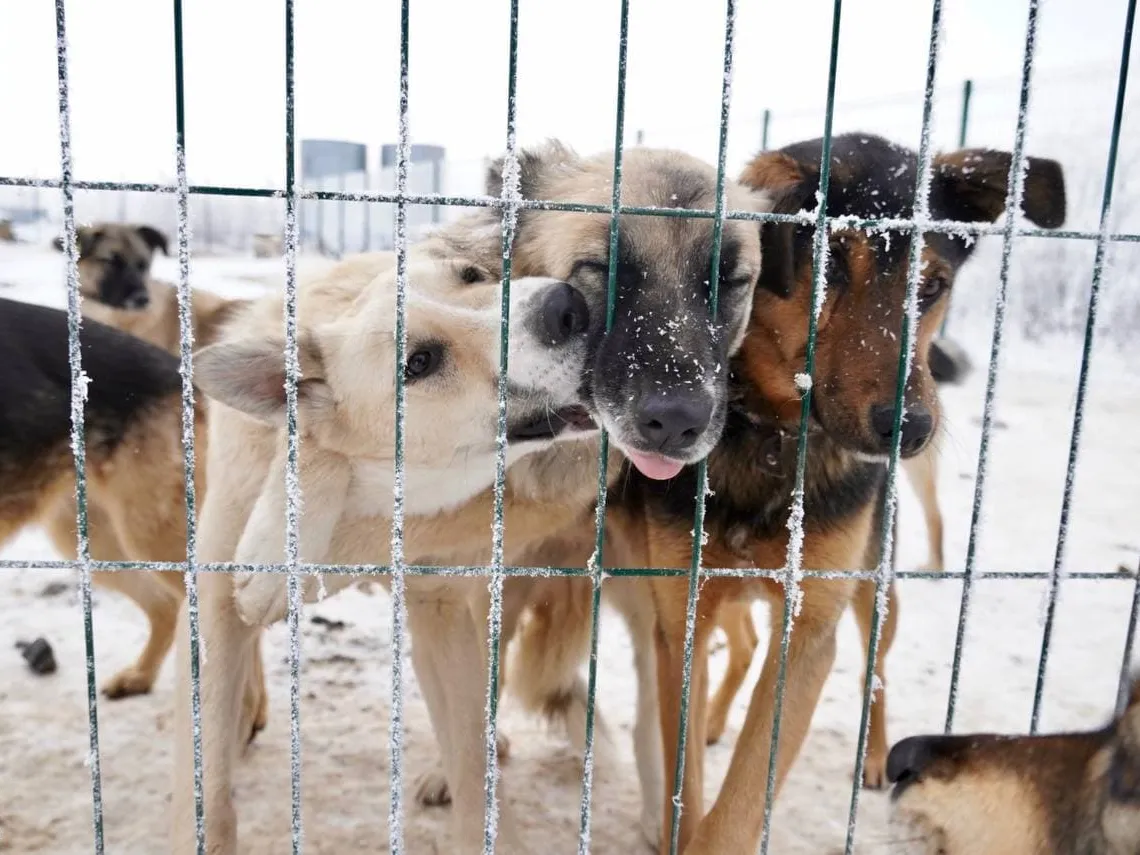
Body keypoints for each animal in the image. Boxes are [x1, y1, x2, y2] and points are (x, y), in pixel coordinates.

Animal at [606, 130, 1067, 852]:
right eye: (828, 271)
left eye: (932, 286)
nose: (911, 428)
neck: (770, 438)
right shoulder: (680, 613)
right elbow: (688, 785)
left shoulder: (810, 630)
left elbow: (739, 804)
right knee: (744, 644)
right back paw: (716, 719)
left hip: (874, 586)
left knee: (875, 671)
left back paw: (874, 756)